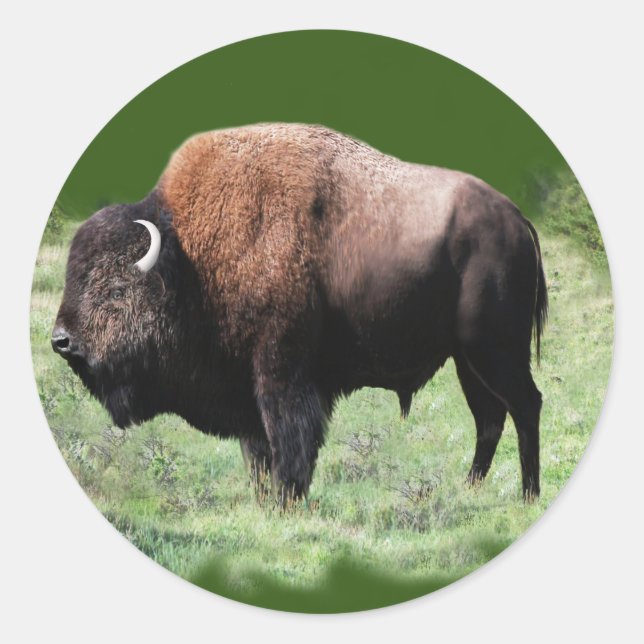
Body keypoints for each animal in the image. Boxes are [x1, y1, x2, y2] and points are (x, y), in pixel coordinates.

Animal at [52, 123, 547, 503]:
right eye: (74, 279)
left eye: (116, 288)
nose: (61, 341)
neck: (190, 260)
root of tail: (515, 218)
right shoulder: (245, 387)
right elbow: (258, 451)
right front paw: (264, 500)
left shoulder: (282, 373)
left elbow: (290, 442)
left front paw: (287, 500)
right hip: (468, 360)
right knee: (489, 417)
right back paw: (470, 489)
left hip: (496, 351)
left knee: (525, 405)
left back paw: (528, 495)